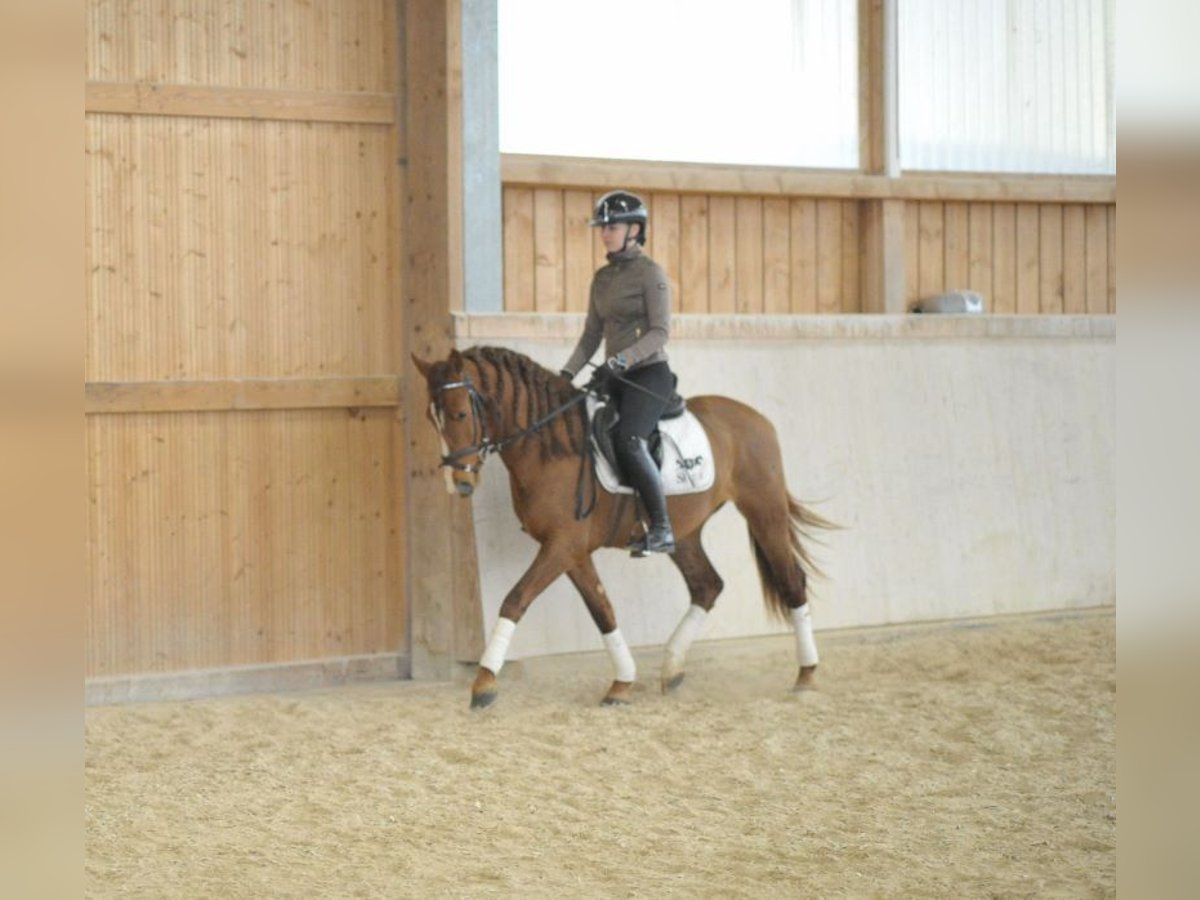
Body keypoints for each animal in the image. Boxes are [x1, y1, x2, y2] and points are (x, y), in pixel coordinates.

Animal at [412, 348, 835, 710]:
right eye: (432, 418)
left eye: (460, 414)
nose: (459, 483)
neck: (551, 446)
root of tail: (757, 418)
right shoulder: (571, 550)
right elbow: (603, 610)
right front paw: (622, 683)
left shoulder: (562, 546)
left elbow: (515, 600)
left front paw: (484, 684)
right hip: (685, 534)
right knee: (707, 586)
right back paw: (672, 668)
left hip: (764, 511)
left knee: (792, 582)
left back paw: (806, 677)